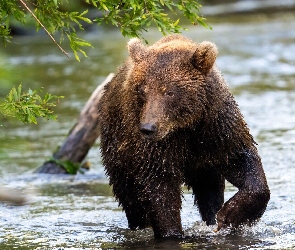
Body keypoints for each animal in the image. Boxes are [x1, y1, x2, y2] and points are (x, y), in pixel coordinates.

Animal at [98, 34, 272, 238]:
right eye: (142, 90)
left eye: (169, 92)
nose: (148, 128)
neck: (187, 125)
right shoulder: (157, 146)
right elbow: (159, 186)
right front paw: (171, 232)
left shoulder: (217, 128)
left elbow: (242, 159)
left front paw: (232, 214)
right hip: (119, 149)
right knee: (130, 197)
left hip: (204, 165)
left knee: (209, 188)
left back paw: (212, 216)